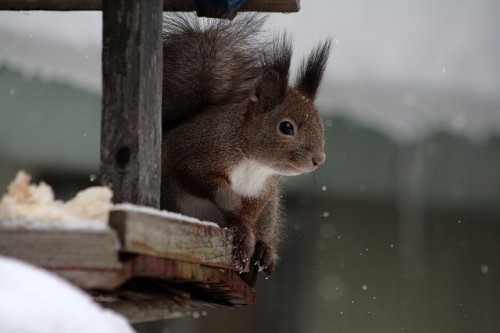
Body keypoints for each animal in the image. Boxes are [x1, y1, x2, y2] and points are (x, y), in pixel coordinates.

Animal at [161, 13, 332, 274]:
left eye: (321, 125)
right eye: (286, 127)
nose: (318, 159)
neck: (253, 161)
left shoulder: (263, 190)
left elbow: (247, 216)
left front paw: (244, 235)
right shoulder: (189, 153)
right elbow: (196, 178)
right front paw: (230, 200)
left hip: (270, 211)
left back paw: (264, 249)